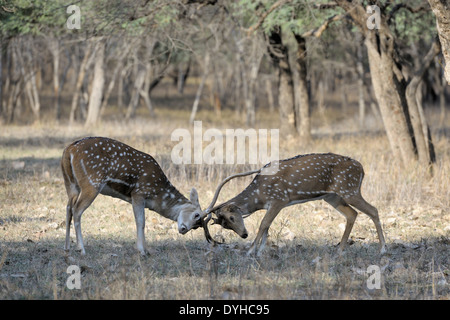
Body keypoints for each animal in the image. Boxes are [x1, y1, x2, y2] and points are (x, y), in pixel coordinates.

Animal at [61, 137, 204, 255]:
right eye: (196, 215)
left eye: (197, 225)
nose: (184, 229)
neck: (157, 196)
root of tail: (69, 150)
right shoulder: (139, 192)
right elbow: (141, 221)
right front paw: (142, 251)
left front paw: (146, 249)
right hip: (92, 182)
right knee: (77, 210)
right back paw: (81, 249)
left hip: (71, 184)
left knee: (68, 209)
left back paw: (67, 248)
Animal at [201, 154, 386, 256]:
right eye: (225, 225)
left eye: (232, 217)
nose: (244, 235)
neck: (259, 195)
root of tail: (362, 169)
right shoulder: (273, 204)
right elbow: (267, 227)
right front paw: (259, 252)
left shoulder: (279, 199)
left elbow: (263, 224)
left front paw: (250, 251)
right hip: (332, 196)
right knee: (352, 214)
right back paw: (340, 250)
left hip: (349, 189)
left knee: (373, 210)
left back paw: (383, 249)